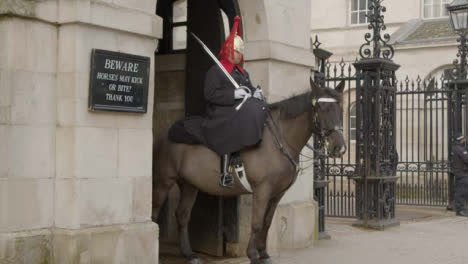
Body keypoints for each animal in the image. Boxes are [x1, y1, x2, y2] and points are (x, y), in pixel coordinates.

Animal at [152, 79, 346, 264]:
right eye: (321, 108)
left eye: (341, 108)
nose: (339, 148)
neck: (278, 140)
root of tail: (163, 134)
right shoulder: (262, 189)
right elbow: (257, 223)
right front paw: (253, 255)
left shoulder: (277, 193)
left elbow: (267, 223)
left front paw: (264, 253)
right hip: (164, 181)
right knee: (155, 211)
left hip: (189, 184)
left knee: (182, 215)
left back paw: (189, 254)